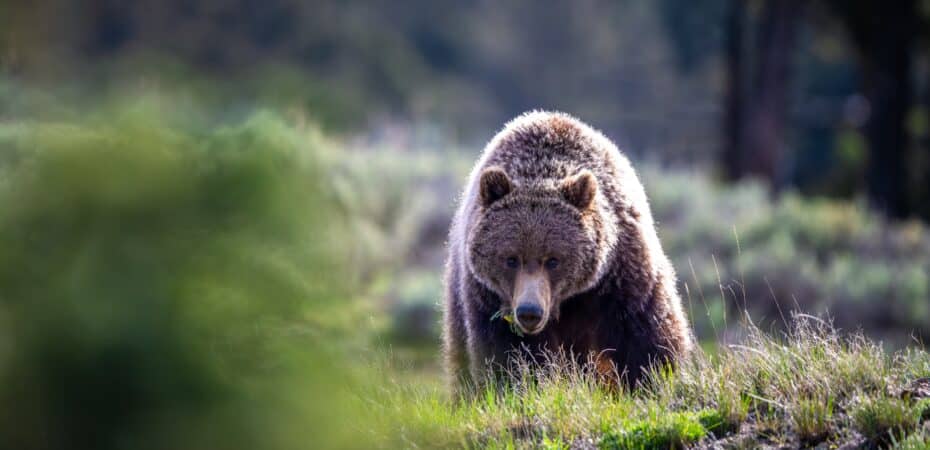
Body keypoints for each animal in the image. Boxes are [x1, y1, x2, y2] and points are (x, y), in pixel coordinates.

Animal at [442, 111, 693, 394]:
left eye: (553, 260)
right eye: (511, 259)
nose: (530, 312)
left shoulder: (621, 273)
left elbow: (646, 333)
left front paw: (654, 381)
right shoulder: (489, 296)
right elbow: (510, 353)